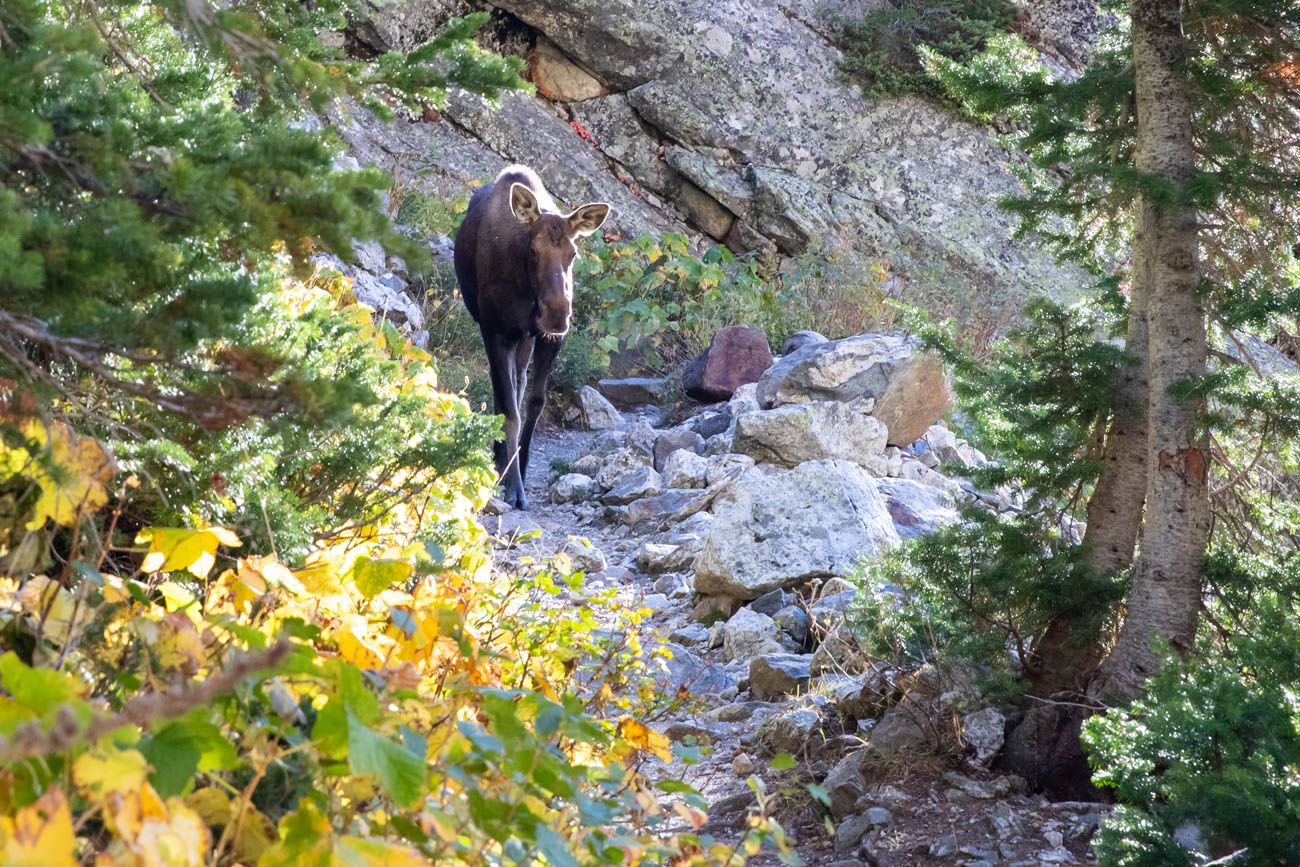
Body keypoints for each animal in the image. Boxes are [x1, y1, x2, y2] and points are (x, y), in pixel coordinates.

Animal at [454, 164, 611, 509]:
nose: (558, 314)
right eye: (533, 251)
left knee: (519, 382)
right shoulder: (495, 330)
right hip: (503, 334)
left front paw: (521, 470)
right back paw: (499, 463)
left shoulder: (548, 338)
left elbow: (535, 401)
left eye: (573, 253)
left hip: (525, 339)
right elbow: (509, 411)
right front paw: (513, 487)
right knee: (503, 389)